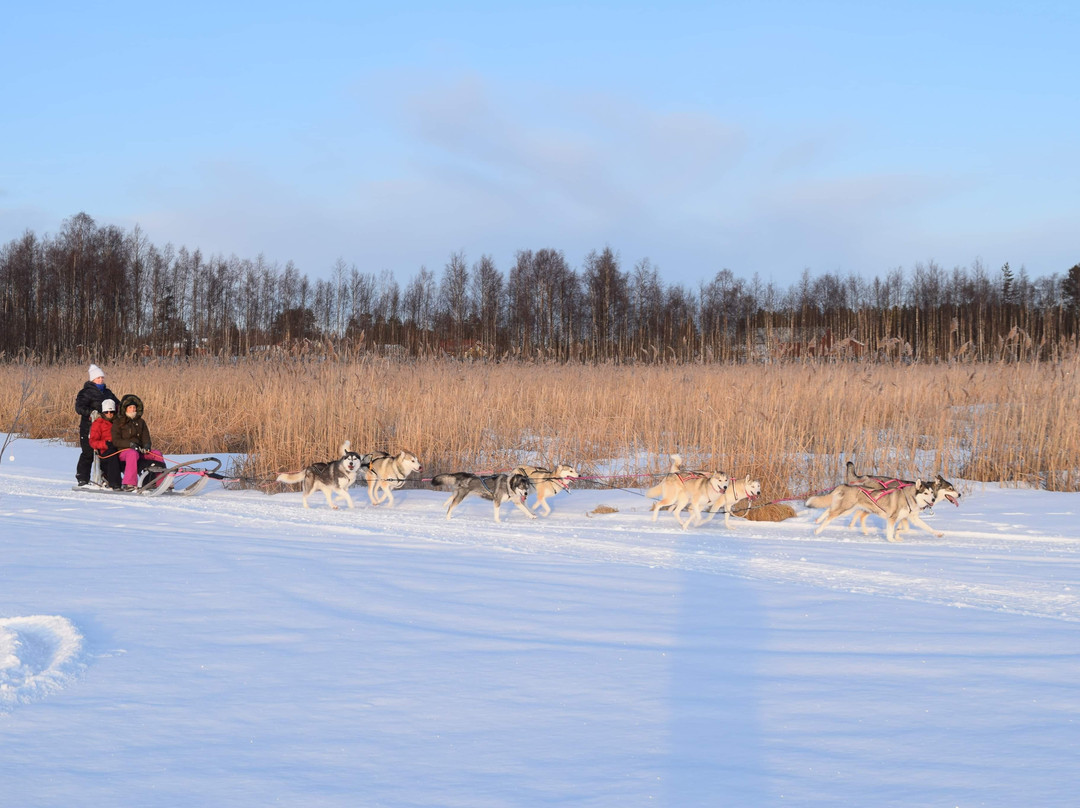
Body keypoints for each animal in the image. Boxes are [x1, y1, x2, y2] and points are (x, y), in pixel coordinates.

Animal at [807, 479, 941, 542]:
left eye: (932, 492)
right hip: (845, 508)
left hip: (847, 509)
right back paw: (818, 530)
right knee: (830, 516)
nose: (933, 499)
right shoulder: (892, 518)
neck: (909, 497)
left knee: (829, 510)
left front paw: (938, 533)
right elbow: (890, 531)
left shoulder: (908, 518)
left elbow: (924, 527)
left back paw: (818, 520)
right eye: (925, 493)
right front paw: (892, 539)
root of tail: (846, 485)